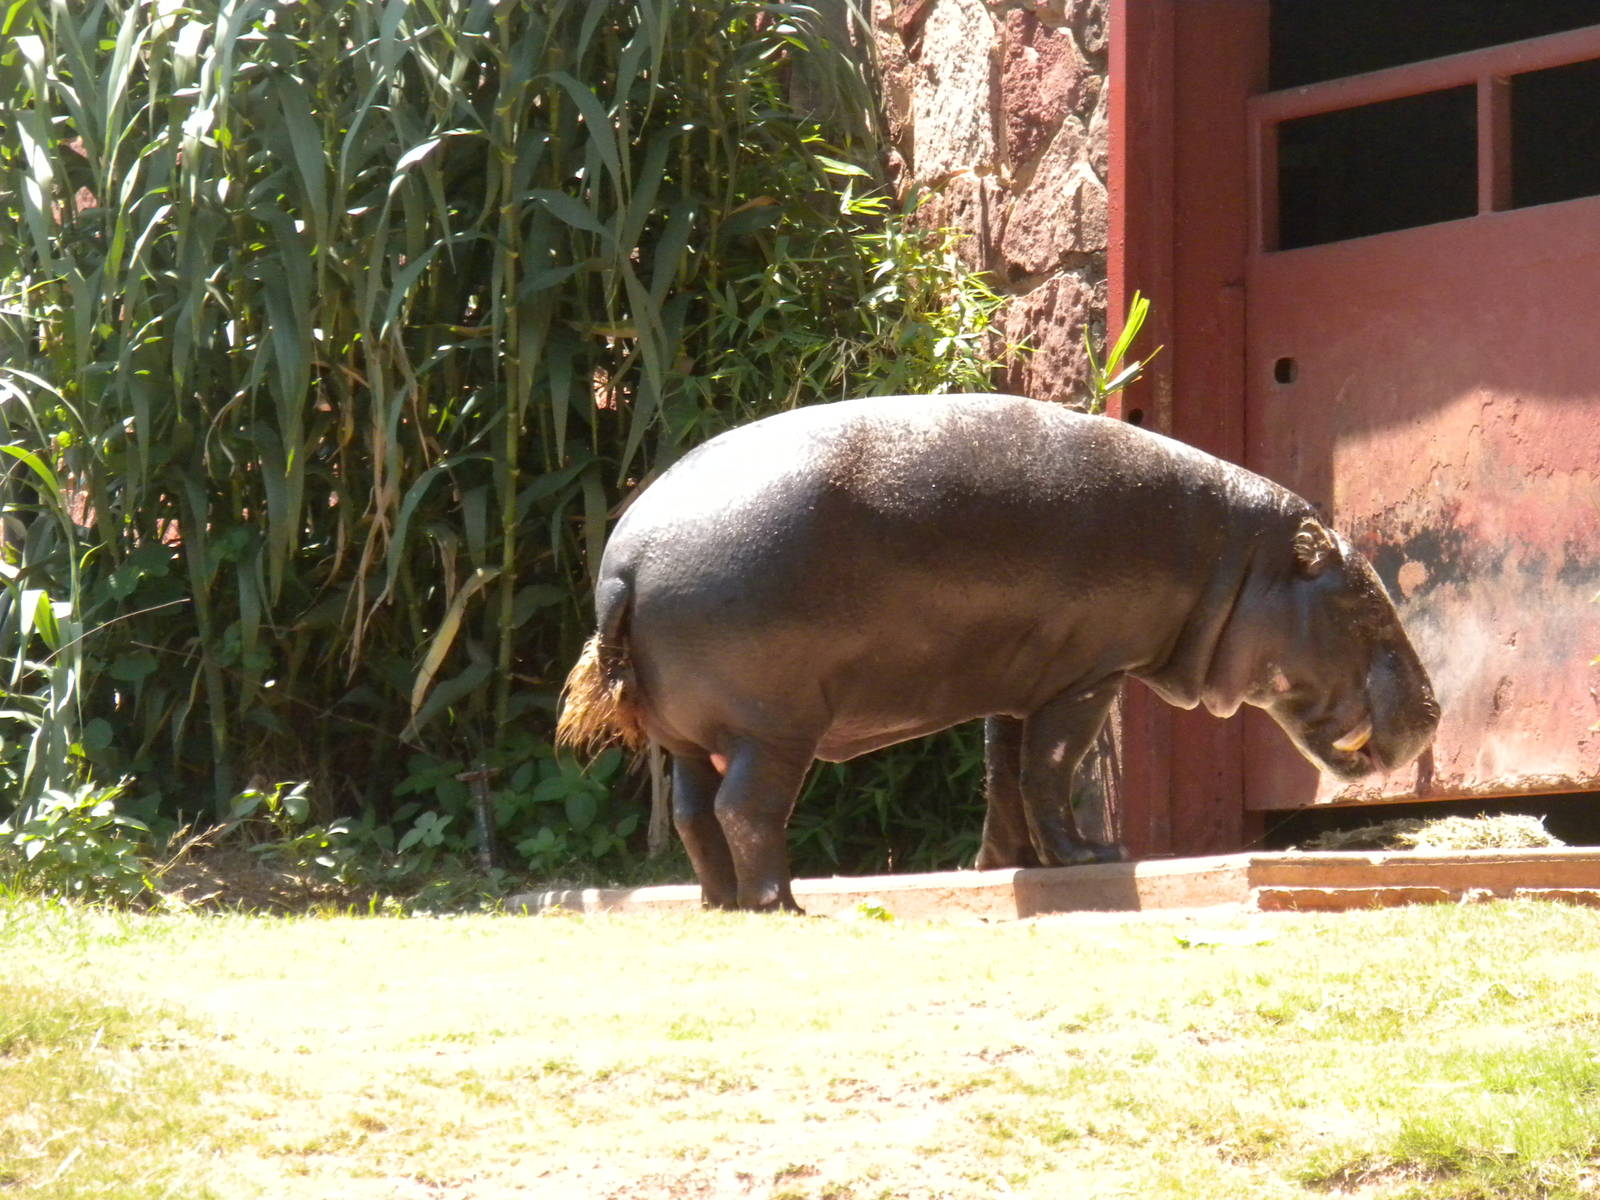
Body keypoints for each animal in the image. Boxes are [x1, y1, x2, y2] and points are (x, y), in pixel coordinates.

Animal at [557, 393, 1440, 911]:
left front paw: (999, 865)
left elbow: (1005, 776)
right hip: (773, 726)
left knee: (692, 812)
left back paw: (722, 904)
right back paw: (782, 905)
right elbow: (1051, 770)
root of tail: (626, 559)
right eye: (1366, 603)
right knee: (746, 808)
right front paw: (1092, 855)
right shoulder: (1088, 676)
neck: (1237, 559)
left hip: (686, 737)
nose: (1435, 713)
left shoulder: (1020, 680)